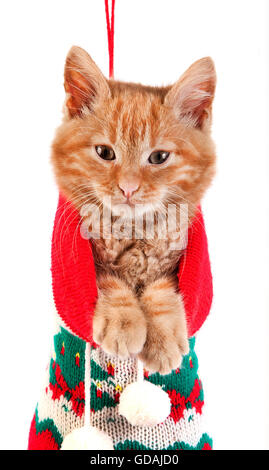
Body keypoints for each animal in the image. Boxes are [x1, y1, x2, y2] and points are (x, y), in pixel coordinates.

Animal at [51, 46, 216, 372]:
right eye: (104, 152)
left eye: (159, 157)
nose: (128, 188)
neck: (132, 231)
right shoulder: (88, 259)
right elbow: (107, 281)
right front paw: (122, 322)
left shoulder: (174, 261)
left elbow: (163, 287)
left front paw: (164, 339)